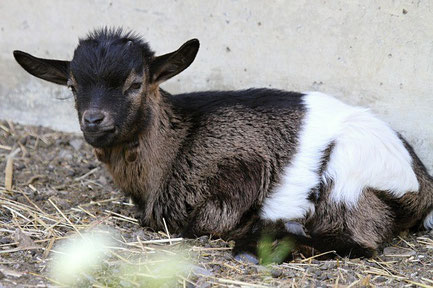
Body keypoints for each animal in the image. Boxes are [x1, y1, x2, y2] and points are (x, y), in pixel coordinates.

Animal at [13, 28, 432, 258]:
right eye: (72, 85)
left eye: (136, 83)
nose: (94, 120)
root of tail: (421, 185)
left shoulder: (237, 169)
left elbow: (204, 220)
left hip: (349, 182)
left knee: (362, 241)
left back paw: (257, 246)